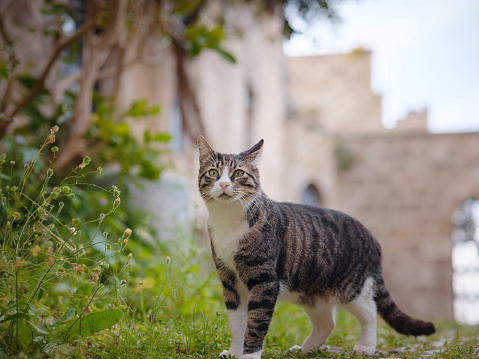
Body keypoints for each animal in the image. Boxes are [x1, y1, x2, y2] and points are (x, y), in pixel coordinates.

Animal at [197, 136, 436, 358]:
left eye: (238, 173)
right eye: (213, 172)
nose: (224, 184)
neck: (228, 223)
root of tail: (371, 237)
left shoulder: (264, 281)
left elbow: (256, 323)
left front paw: (249, 355)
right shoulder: (230, 281)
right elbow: (236, 322)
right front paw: (234, 352)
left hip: (351, 287)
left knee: (369, 311)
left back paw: (366, 347)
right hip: (311, 290)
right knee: (327, 323)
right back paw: (305, 349)